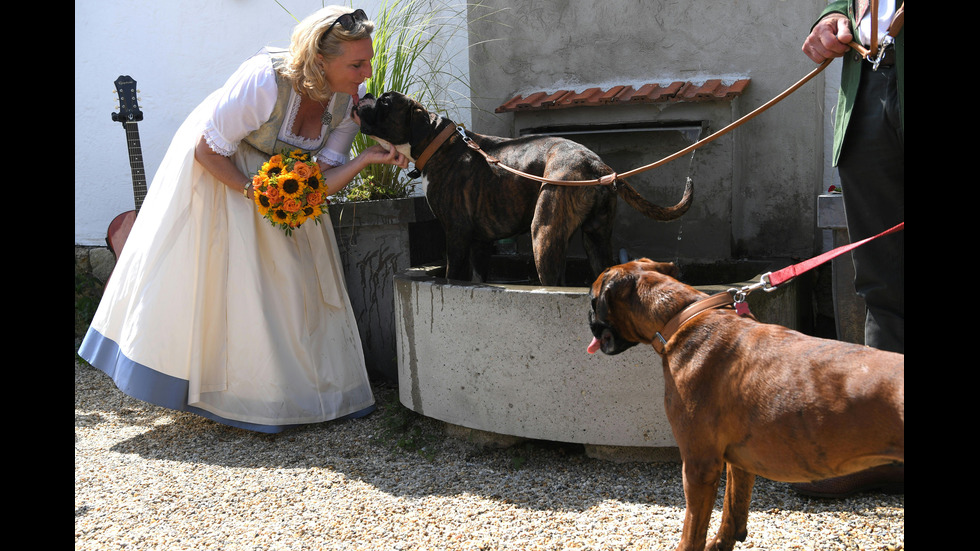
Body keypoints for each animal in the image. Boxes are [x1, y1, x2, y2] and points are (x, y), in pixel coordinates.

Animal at [356, 91, 692, 286]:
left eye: (385, 102)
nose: (366, 94)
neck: (436, 141)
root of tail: (597, 166)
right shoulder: (481, 242)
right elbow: (478, 277)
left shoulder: (457, 233)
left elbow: (453, 273)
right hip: (597, 238)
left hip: (544, 233)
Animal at [588, 260, 904, 551]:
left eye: (592, 300)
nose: (588, 316)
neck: (682, 315)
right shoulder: (739, 459)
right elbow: (733, 509)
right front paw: (723, 542)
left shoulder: (699, 464)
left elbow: (692, 532)